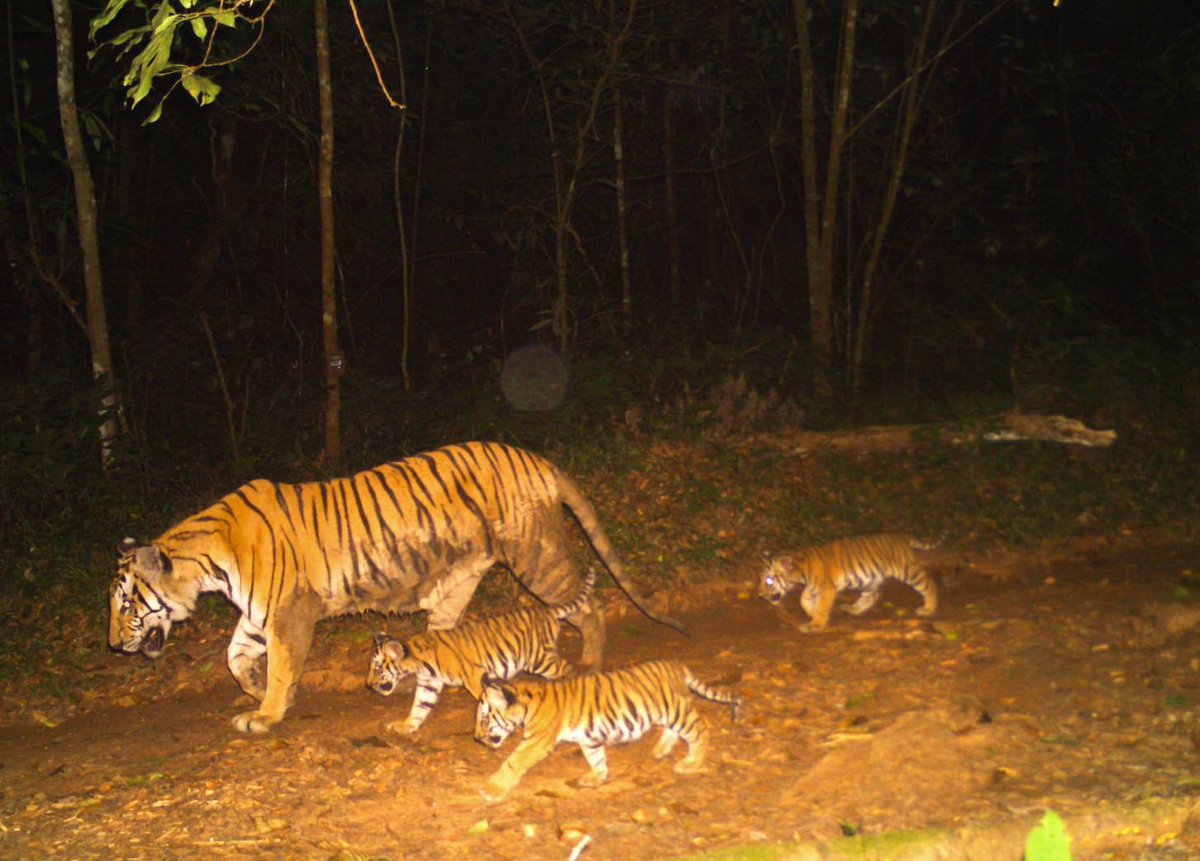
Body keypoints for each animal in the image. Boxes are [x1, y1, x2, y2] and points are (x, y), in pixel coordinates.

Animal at [367, 568, 596, 734]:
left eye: (377, 667)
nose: (368, 685)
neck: (417, 662)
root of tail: (546, 609)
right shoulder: (428, 684)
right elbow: (419, 707)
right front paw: (405, 726)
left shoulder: (474, 675)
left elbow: (486, 699)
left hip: (539, 659)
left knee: (568, 668)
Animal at [473, 659, 740, 802]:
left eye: (484, 720)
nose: (475, 738)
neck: (525, 701)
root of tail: (675, 664)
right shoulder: (588, 738)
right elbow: (596, 757)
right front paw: (596, 778)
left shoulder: (535, 741)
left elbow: (513, 762)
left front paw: (491, 790)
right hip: (667, 713)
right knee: (673, 731)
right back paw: (660, 751)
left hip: (675, 711)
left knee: (699, 728)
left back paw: (691, 763)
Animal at [757, 533, 940, 631]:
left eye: (768, 580)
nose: (759, 595)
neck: (800, 571)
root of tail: (901, 536)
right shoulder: (813, 588)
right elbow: (804, 599)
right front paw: (811, 613)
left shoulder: (826, 588)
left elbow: (821, 606)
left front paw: (816, 624)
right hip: (869, 579)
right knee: (872, 595)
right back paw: (852, 609)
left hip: (906, 570)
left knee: (928, 584)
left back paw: (928, 609)